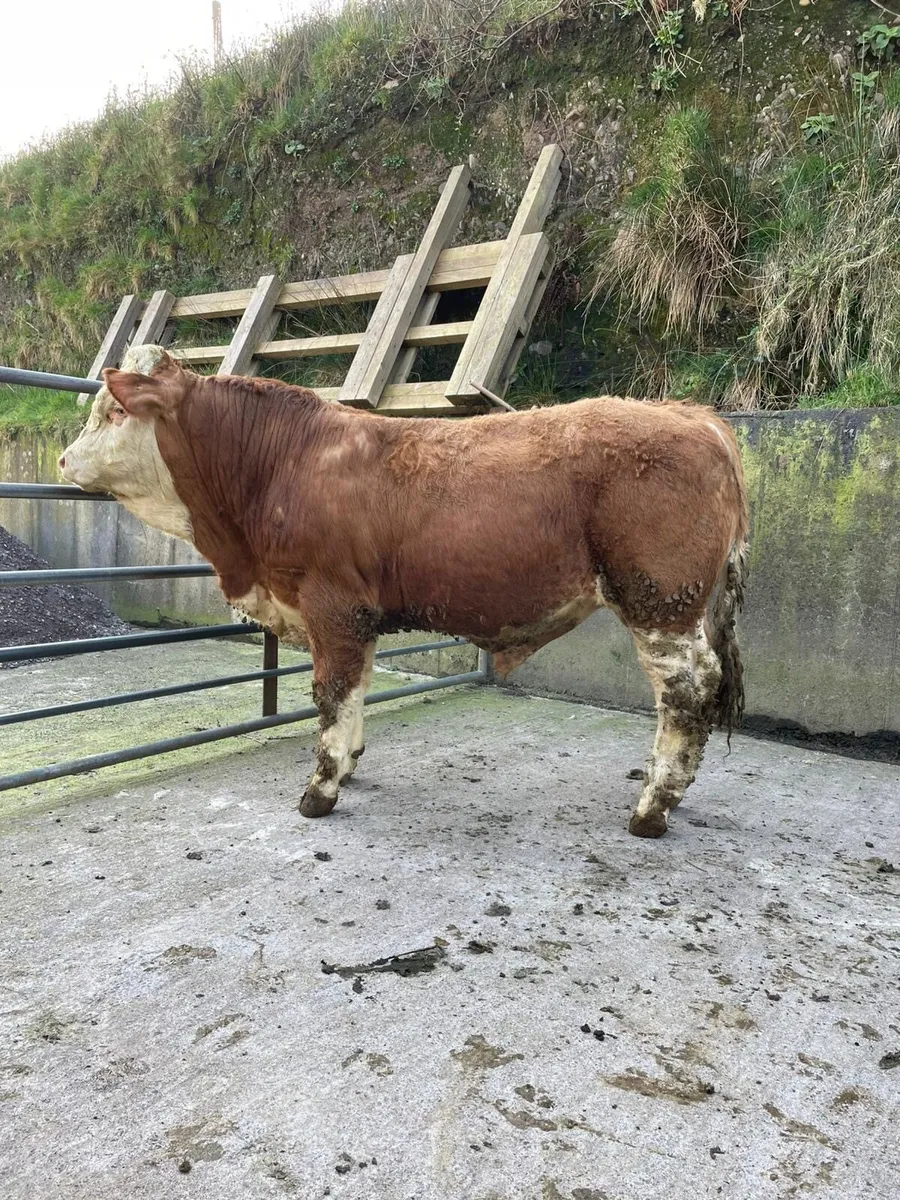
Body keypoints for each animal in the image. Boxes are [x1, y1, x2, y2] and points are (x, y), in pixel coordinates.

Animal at [59, 345, 748, 838]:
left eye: (115, 411)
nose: (63, 460)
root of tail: (691, 414)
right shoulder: (353, 616)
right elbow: (356, 687)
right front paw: (351, 762)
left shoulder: (333, 604)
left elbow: (331, 693)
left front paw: (321, 789)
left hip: (660, 600)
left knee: (687, 692)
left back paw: (652, 807)